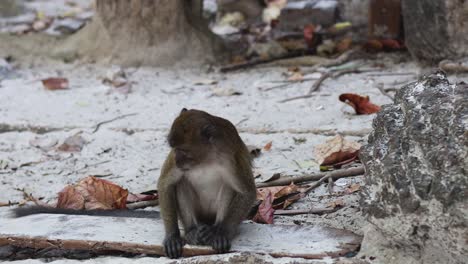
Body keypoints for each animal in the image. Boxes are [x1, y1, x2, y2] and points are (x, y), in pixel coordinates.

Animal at [11, 108, 256, 258]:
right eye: (173, 149)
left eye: (184, 150)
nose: (177, 159)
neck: (206, 159)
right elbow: (166, 184)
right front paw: (172, 236)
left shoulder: (229, 155)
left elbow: (247, 192)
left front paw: (222, 232)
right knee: (182, 185)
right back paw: (194, 231)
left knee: (227, 189)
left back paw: (213, 230)